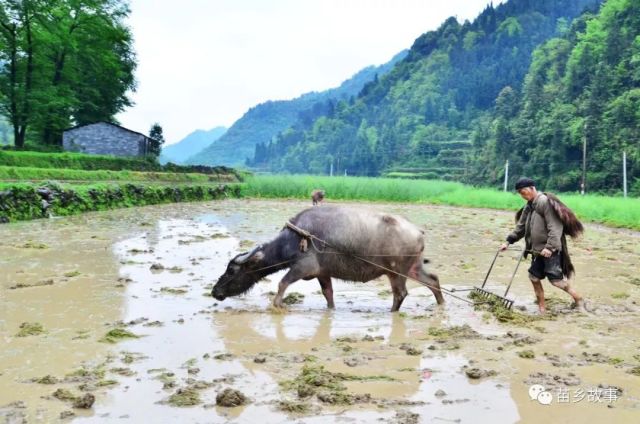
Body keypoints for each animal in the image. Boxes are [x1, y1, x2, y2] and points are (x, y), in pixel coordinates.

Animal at [212, 206, 442, 312]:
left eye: (231, 270)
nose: (215, 292)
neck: (293, 240)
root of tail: (418, 231)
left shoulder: (303, 267)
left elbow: (282, 283)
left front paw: (277, 305)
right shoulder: (322, 273)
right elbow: (328, 293)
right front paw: (330, 310)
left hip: (397, 272)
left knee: (400, 293)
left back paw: (392, 312)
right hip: (413, 268)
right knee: (433, 280)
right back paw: (441, 305)